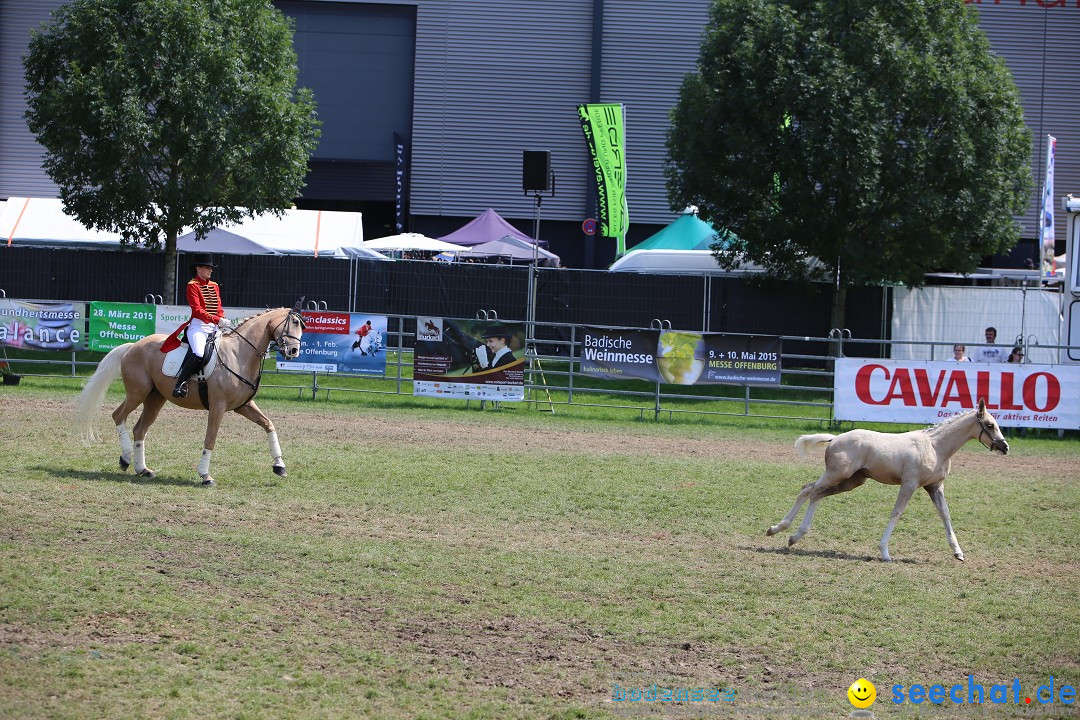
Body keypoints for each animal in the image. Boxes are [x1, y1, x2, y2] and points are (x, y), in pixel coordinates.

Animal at [73, 304, 306, 483]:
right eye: (294, 323)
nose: (294, 352)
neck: (238, 354)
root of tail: (133, 346)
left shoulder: (244, 406)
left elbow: (269, 425)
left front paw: (279, 466)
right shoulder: (218, 406)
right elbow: (210, 439)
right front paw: (205, 475)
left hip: (155, 398)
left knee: (140, 429)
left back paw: (143, 469)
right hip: (137, 393)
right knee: (118, 415)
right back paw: (126, 459)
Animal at [764, 399, 1006, 561]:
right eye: (989, 424)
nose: (1005, 447)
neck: (935, 447)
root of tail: (835, 438)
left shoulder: (935, 486)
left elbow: (945, 515)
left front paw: (958, 553)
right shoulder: (909, 484)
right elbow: (896, 513)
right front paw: (885, 552)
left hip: (851, 481)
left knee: (816, 494)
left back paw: (793, 535)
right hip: (836, 474)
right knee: (808, 489)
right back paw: (779, 529)